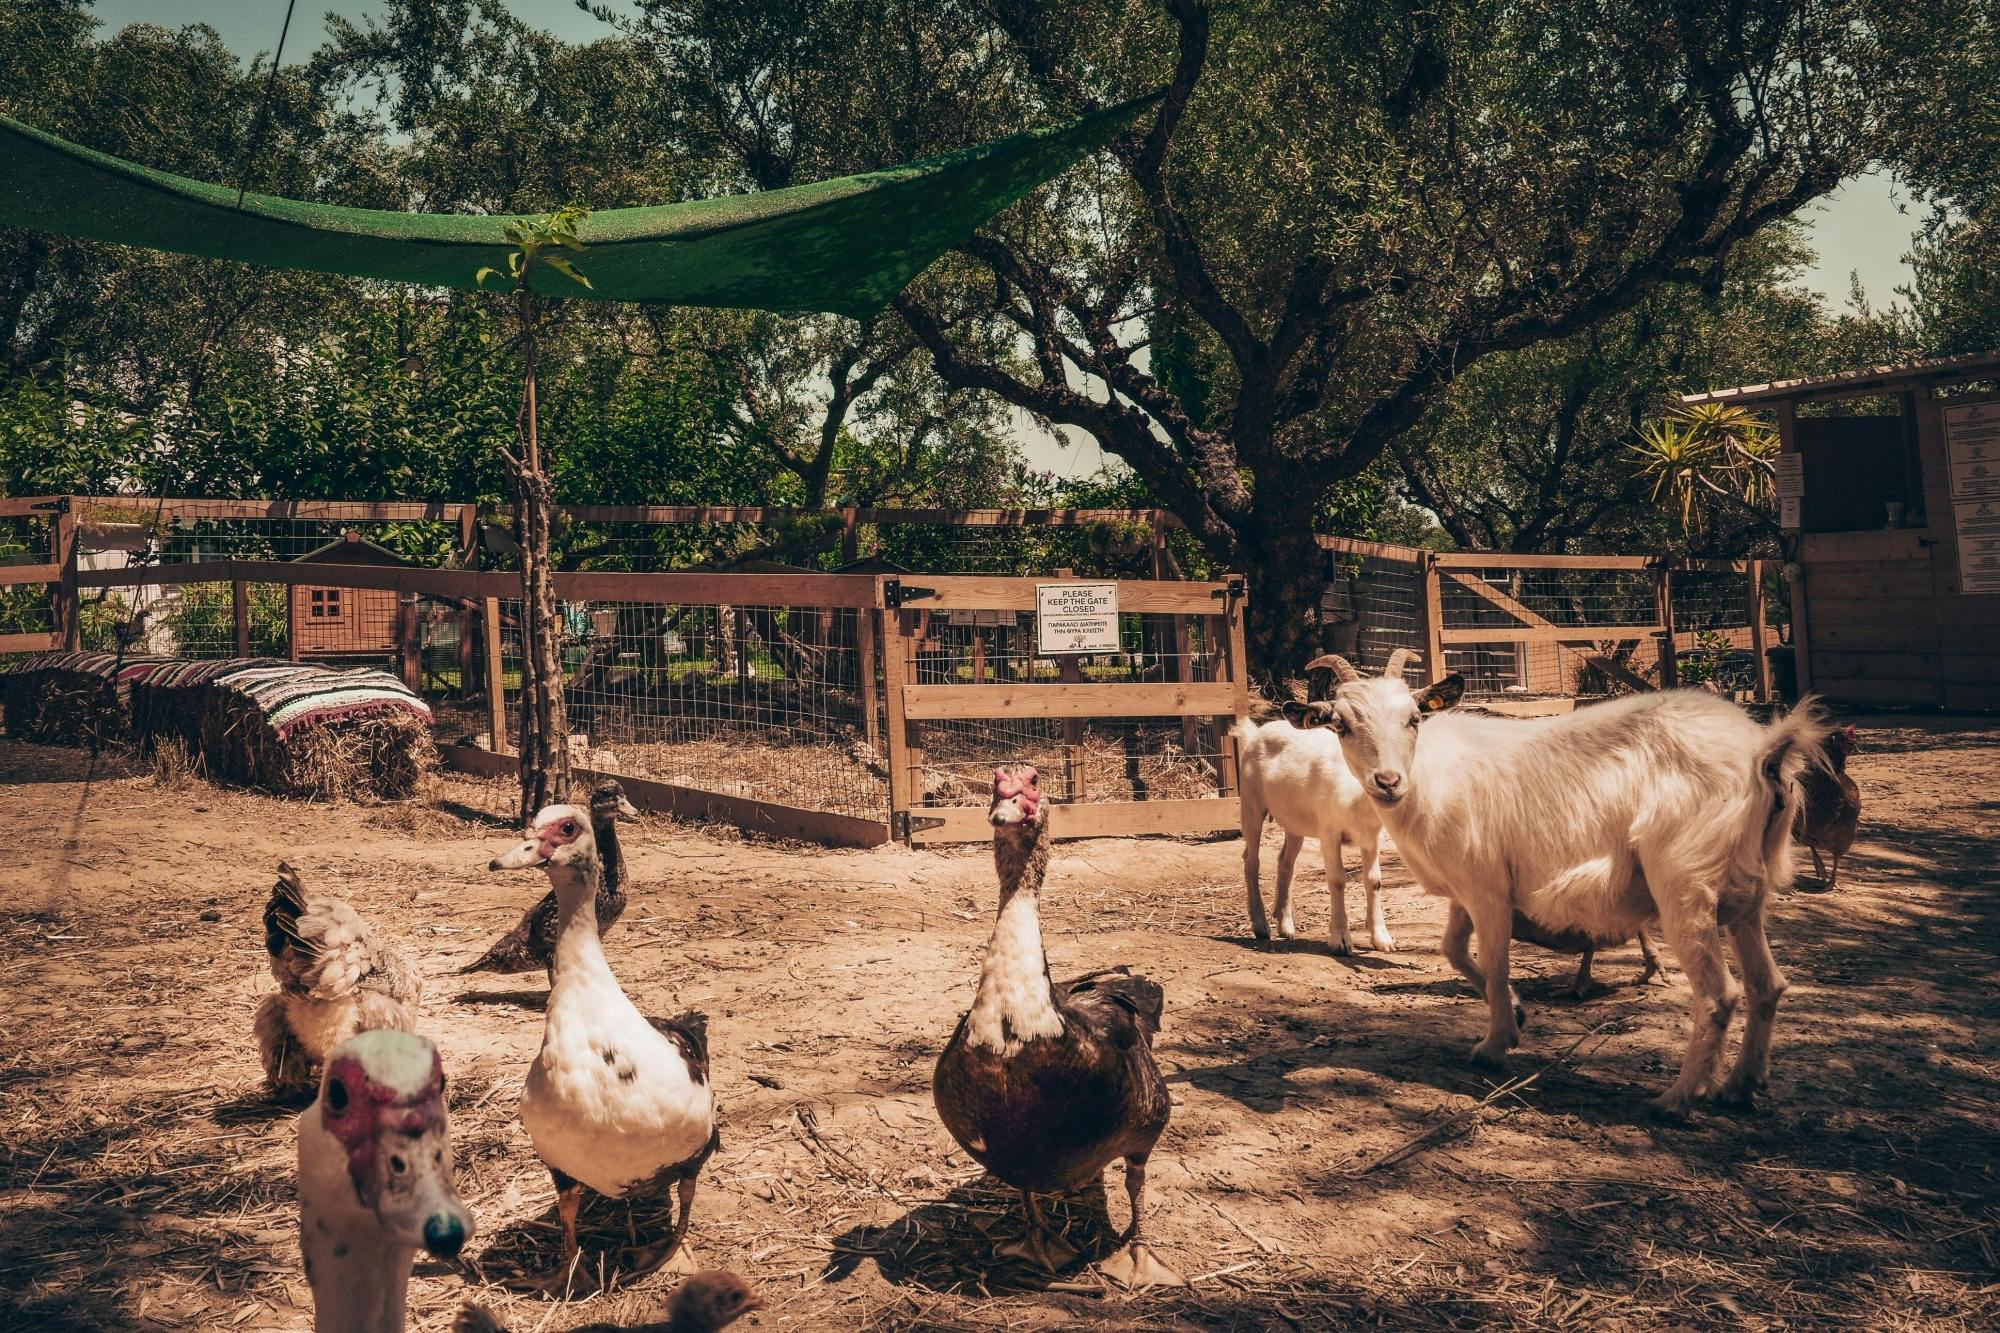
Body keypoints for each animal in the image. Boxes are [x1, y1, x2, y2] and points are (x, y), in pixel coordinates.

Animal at [1216, 648, 1408, 948]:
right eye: (1342, 725)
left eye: (1411, 719)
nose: (1388, 781)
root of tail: (1255, 733)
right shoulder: (1329, 833)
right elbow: (1337, 879)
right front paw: (1341, 939)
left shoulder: (1371, 836)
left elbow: (1374, 879)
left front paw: (1382, 938)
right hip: (1251, 806)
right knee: (1251, 860)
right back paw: (1261, 926)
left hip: (1295, 824)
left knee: (1285, 862)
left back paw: (1286, 926)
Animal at [1304, 648, 1824, 1112]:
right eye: (1340, 725)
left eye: (1414, 718)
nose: (1387, 781)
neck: (1431, 775)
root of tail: (1763, 755)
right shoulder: (1468, 889)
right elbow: (1452, 950)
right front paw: (1517, 1014)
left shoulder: (1487, 891)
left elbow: (1495, 967)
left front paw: (1494, 1045)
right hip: (1747, 895)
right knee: (1767, 985)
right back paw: (1741, 1086)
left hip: (1684, 884)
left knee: (1720, 995)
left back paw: (1677, 1100)